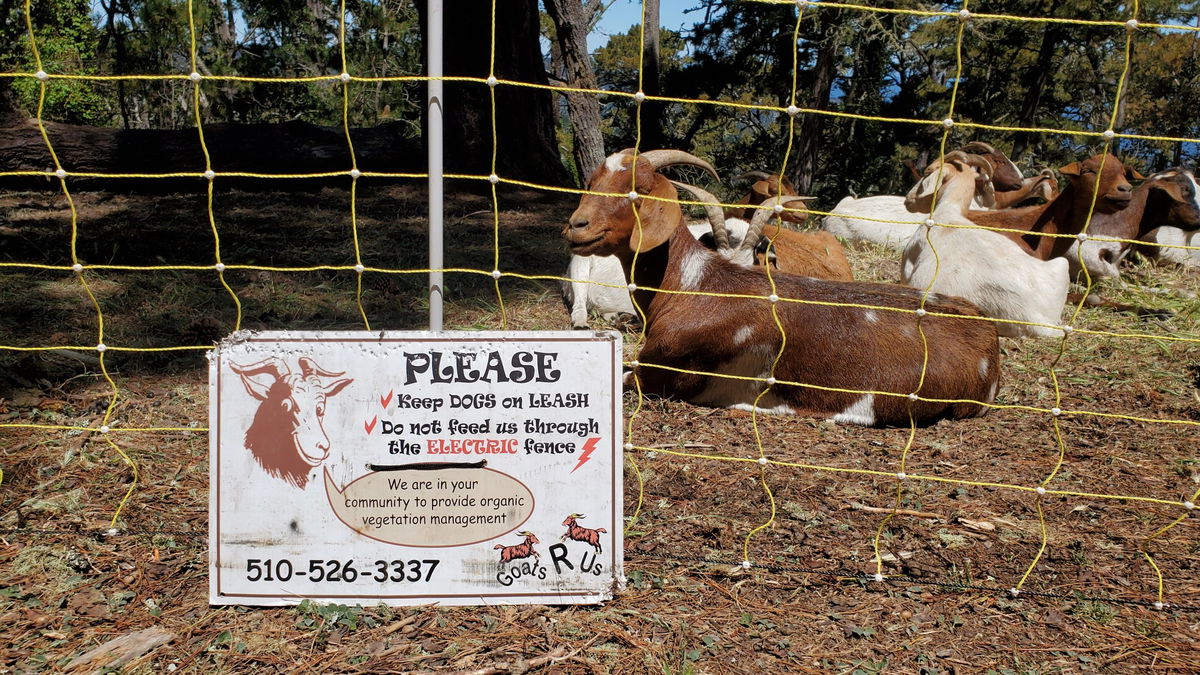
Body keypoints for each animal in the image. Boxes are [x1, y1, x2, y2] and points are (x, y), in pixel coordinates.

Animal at [566, 148, 998, 425]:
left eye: (637, 190)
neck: (693, 286)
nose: (576, 226)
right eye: (591, 180)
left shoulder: (664, 374)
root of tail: (990, 343)